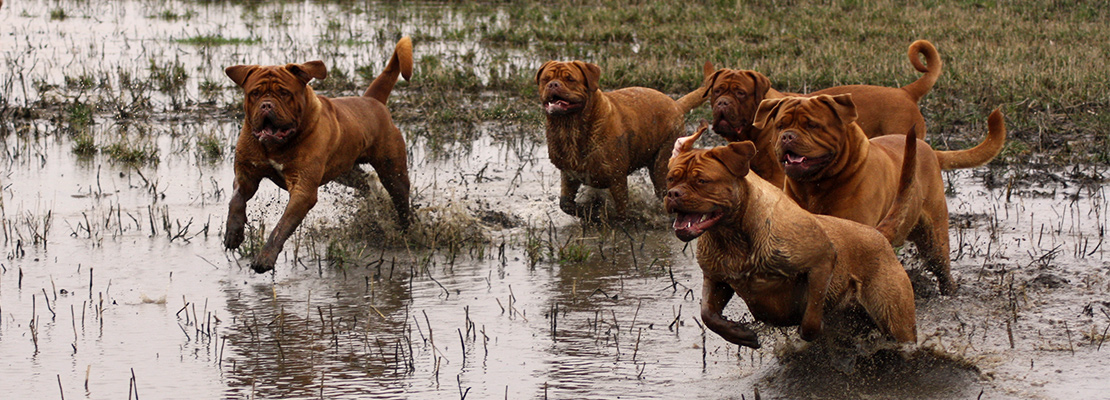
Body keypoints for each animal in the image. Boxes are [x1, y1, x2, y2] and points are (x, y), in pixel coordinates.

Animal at [223, 36, 415, 272]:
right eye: (255, 93)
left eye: (284, 93)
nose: (266, 105)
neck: (276, 146)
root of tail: (372, 100)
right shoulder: (247, 175)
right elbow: (236, 201)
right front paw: (233, 234)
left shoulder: (303, 189)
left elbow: (281, 226)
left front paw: (265, 258)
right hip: (344, 171)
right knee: (364, 181)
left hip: (392, 170)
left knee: (400, 199)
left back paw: (405, 229)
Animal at [539, 59, 710, 218]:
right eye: (545, 79)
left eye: (570, 79)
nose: (553, 84)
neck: (570, 129)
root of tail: (676, 104)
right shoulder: (569, 175)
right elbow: (566, 204)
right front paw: (591, 212)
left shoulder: (617, 179)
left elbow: (622, 211)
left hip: (662, 164)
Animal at [661, 123, 914, 348]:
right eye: (671, 178)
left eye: (702, 181)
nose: (673, 194)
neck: (732, 236)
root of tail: (877, 233)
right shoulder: (716, 278)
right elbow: (708, 315)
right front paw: (740, 334)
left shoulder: (821, 260)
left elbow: (812, 315)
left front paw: (810, 329)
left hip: (895, 316)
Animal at [697, 39, 941, 187]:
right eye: (717, 91)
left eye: (740, 93)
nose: (723, 103)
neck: (753, 131)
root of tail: (905, 92)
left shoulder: (778, 176)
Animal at [754, 92, 1007, 293]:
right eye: (780, 125)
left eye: (812, 125)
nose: (788, 135)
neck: (815, 186)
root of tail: (931, 150)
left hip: (935, 237)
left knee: (941, 266)